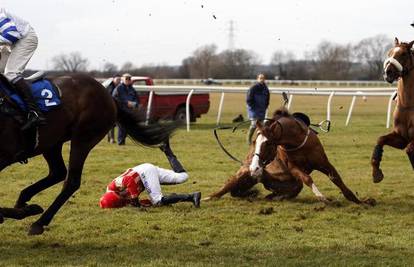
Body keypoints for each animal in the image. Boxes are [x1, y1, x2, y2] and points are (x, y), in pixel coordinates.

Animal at [0, 74, 176, 236]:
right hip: (52, 142)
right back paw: (23, 201)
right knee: (58, 172)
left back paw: (38, 222)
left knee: (71, 180)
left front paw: (21, 212)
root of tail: (108, 95)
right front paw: (21, 211)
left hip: (83, 138)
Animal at [372, 38, 414, 184]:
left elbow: (409, 150)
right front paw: (376, 173)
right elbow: (380, 139)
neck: (408, 104)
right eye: (389, 53)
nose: (388, 72)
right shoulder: (401, 138)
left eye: (403, 54)